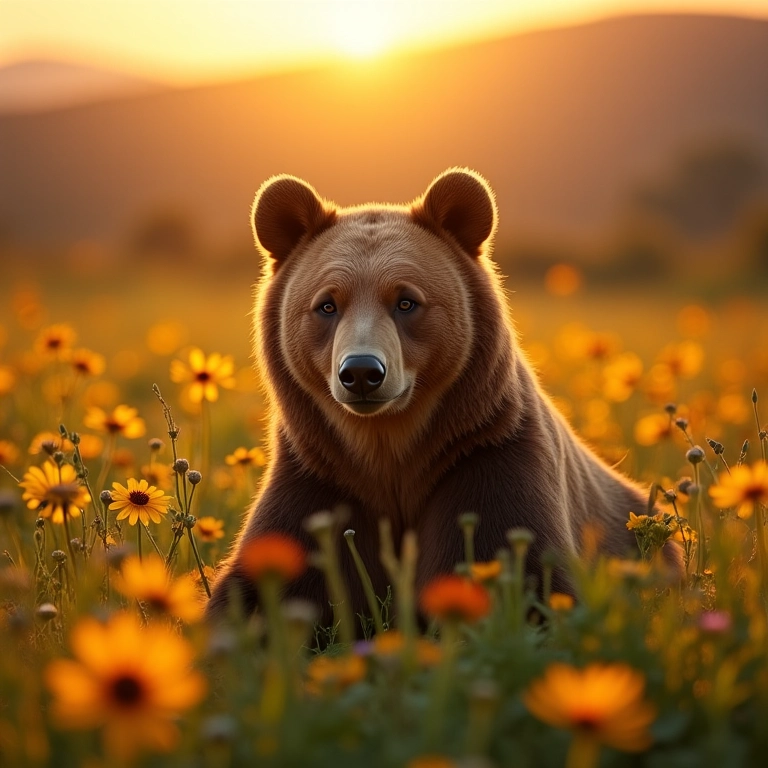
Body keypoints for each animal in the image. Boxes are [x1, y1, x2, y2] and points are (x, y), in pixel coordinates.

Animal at [206, 168, 677, 625]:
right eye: (327, 304)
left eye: (406, 301)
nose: (361, 372)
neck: (387, 449)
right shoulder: (319, 476)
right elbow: (256, 591)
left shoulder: (485, 455)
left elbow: (524, 579)